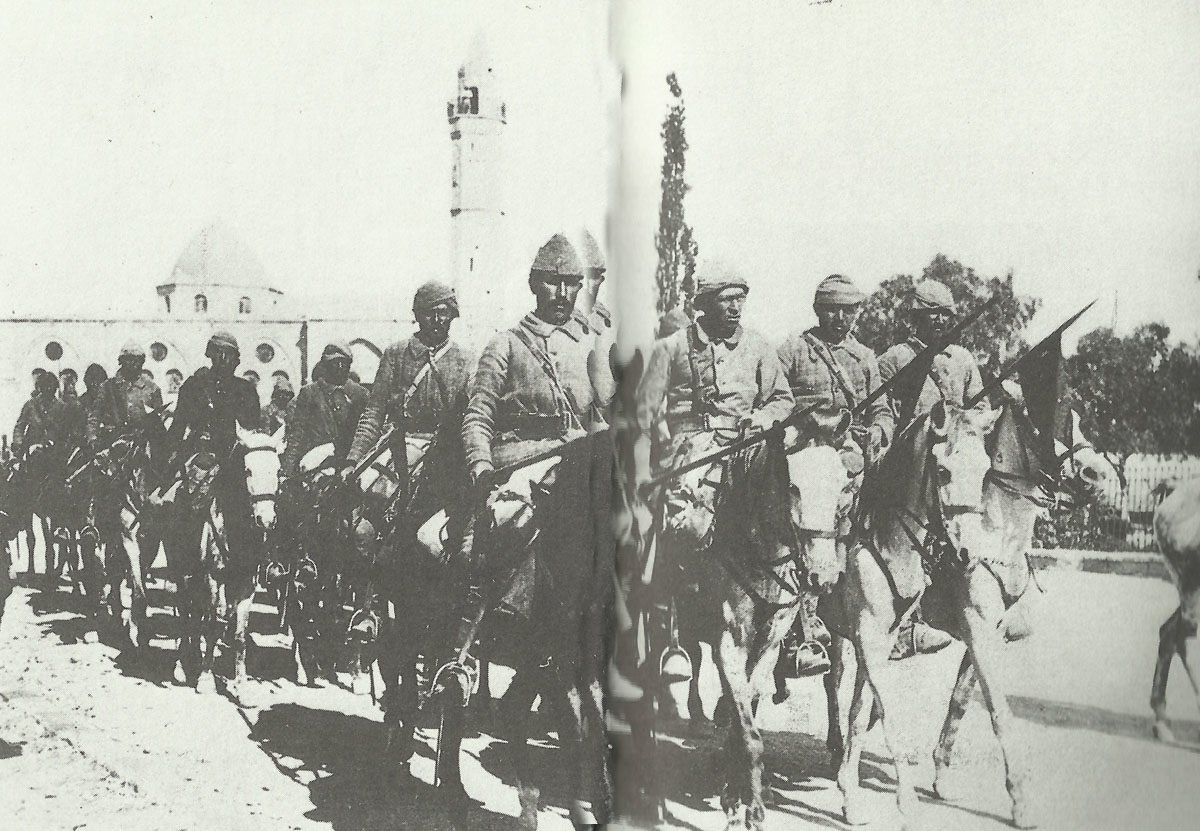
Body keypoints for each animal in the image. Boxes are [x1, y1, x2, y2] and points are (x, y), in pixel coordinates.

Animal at [170, 422, 282, 696]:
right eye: (248, 470)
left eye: (278, 470)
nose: (266, 520)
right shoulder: (212, 577)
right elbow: (211, 625)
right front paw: (206, 678)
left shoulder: (246, 583)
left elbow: (240, 634)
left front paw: (242, 685)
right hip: (181, 571)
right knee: (185, 612)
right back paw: (182, 665)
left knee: (195, 614)